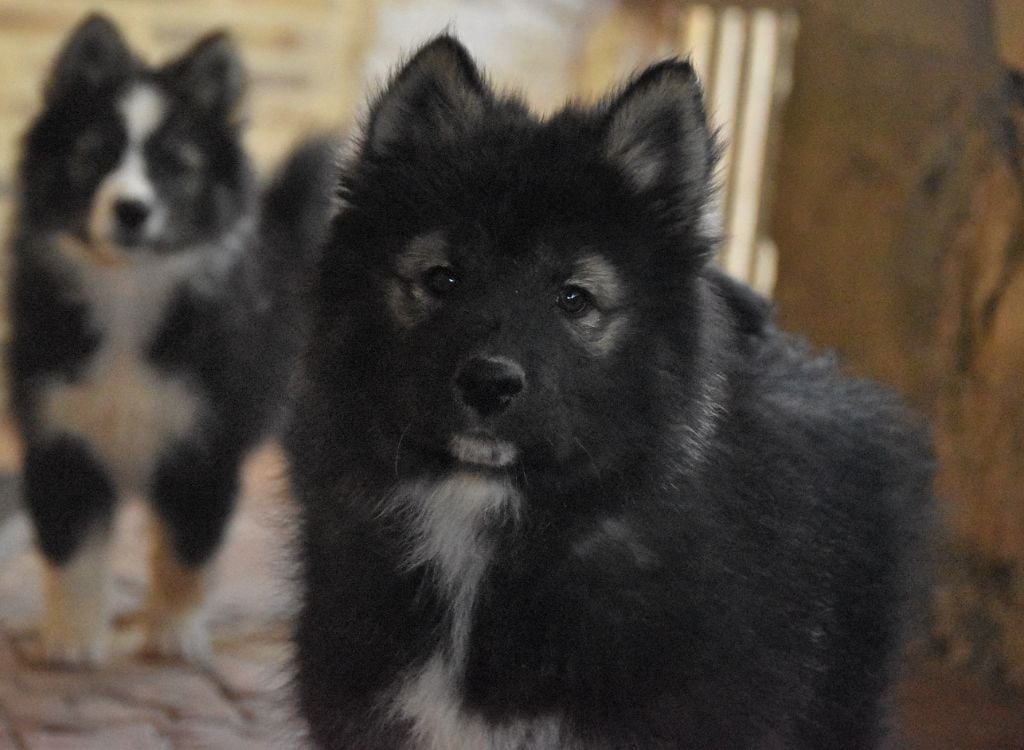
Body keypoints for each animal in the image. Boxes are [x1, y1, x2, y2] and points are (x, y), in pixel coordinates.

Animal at [8, 14, 333, 663]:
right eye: (93, 155)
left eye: (175, 166)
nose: (132, 210)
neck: (129, 293)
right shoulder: (60, 431)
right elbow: (72, 547)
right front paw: (73, 639)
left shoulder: (206, 442)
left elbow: (187, 547)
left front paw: (175, 636)